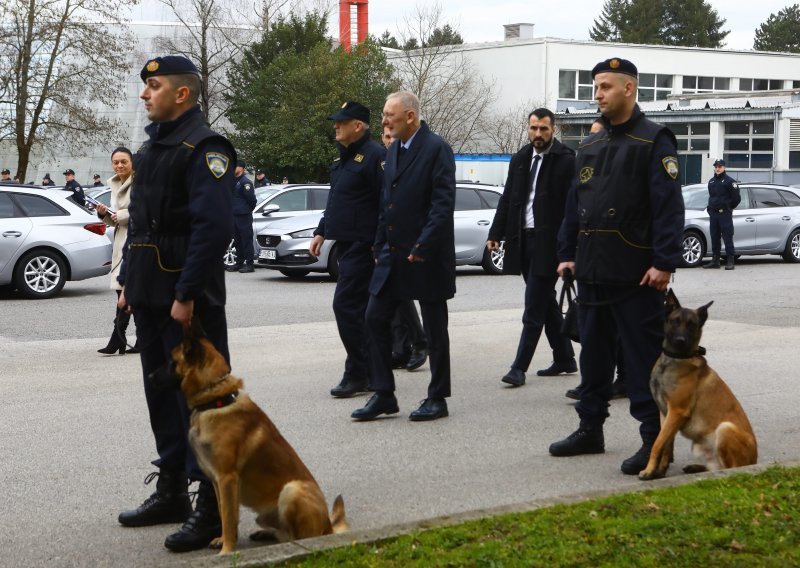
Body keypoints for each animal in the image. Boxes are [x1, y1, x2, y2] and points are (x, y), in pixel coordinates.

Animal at [164, 324, 348, 556]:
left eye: (172, 362)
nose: (149, 376)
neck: (217, 400)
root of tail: (328, 526)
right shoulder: (217, 482)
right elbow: (225, 514)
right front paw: (224, 540)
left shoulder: (227, 479)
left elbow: (228, 517)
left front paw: (227, 551)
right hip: (265, 513)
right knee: (284, 533)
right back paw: (266, 533)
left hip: (291, 490)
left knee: (300, 538)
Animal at [636, 290, 756, 482]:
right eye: (675, 321)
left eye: (691, 325)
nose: (680, 340)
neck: (676, 359)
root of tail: (755, 460)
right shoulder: (665, 414)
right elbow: (665, 444)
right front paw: (659, 471)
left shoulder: (677, 411)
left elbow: (657, 443)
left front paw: (648, 471)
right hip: (700, 445)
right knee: (716, 468)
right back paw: (696, 468)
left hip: (725, 429)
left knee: (731, 469)